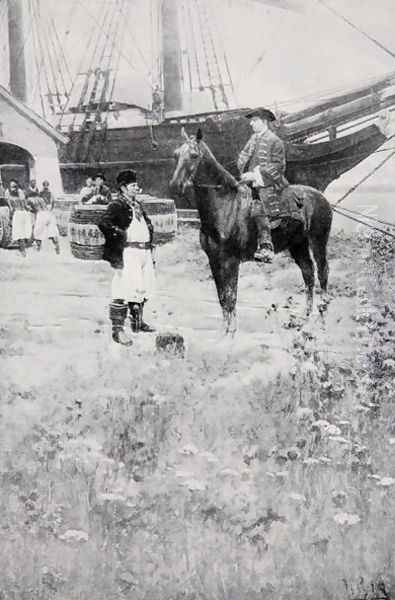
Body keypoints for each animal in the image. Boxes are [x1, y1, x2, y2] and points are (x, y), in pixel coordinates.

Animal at [170, 129, 334, 336]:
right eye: (176, 154)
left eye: (194, 155)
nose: (175, 186)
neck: (225, 206)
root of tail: (321, 197)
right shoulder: (214, 260)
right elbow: (222, 298)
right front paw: (224, 330)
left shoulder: (230, 261)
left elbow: (231, 297)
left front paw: (231, 332)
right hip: (298, 245)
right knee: (308, 273)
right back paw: (306, 317)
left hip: (318, 241)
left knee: (322, 272)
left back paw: (322, 315)